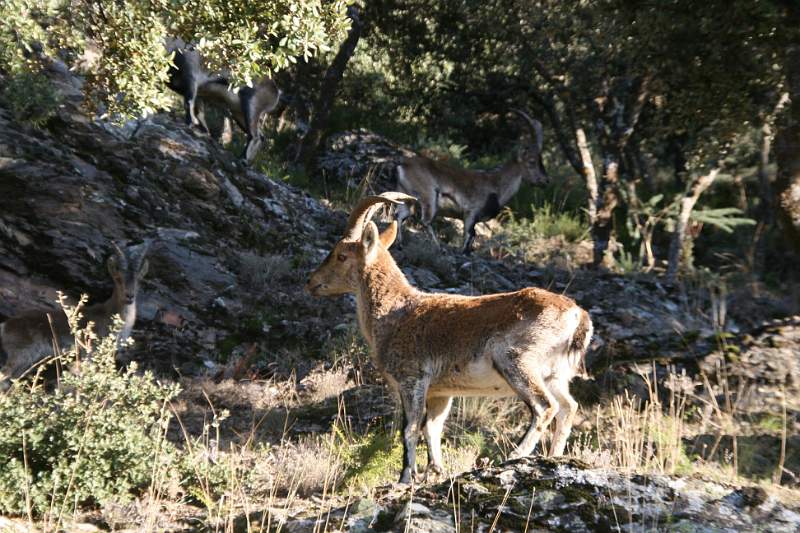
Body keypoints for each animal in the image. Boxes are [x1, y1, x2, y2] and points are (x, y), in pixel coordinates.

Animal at [0, 241, 150, 386]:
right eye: (118, 278)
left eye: (138, 281)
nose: (129, 296)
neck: (112, 315)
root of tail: (5, 326)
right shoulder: (89, 354)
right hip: (21, 355)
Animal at [308, 192, 592, 482]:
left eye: (341, 255)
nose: (311, 282)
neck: (395, 312)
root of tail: (577, 315)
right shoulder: (441, 392)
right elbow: (432, 428)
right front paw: (435, 471)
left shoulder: (412, 380)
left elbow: (410, 429)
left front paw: (405, 478)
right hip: (555, 374)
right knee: (568, 407)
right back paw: (554, 458)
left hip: (516, 361)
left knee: (545, 406)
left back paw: (514, 455)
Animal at [396, 110, 552, 254]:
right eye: (531, 161)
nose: (545, 180)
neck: (496, 184)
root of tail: (404, 163)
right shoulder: (471, 213)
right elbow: (469, 236)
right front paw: (463, 252)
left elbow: (472, 237)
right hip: (429, 197)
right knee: (425, 221)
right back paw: (439, 248)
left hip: (406, 197)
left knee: (400, 216)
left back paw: (400, 244)